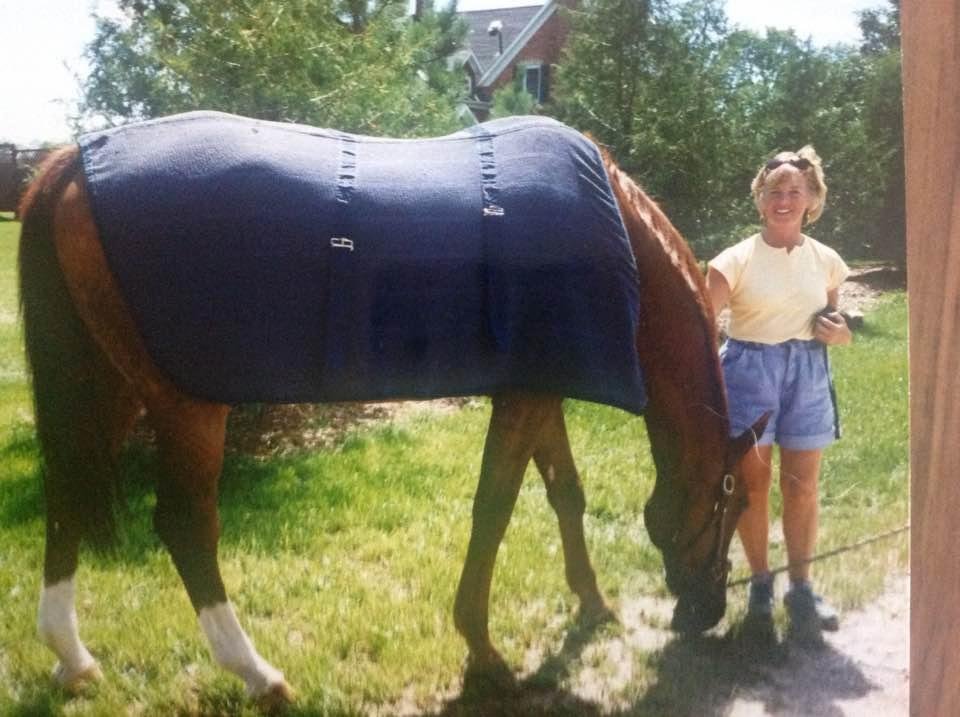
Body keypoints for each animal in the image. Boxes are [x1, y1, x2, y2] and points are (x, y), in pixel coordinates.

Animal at [17, 113, 766, 709]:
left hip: (111, 386)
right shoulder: (526, 396)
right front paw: (484, 653)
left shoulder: (538, 385)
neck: (618, 237)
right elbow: (494, 510)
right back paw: (258, 673)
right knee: (186, 526)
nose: (707, 609)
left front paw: (592, 602)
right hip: (184, 403)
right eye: (734, 500)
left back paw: (72, 656)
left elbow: (565, 494)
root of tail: (73, 164)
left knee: (68, 494)